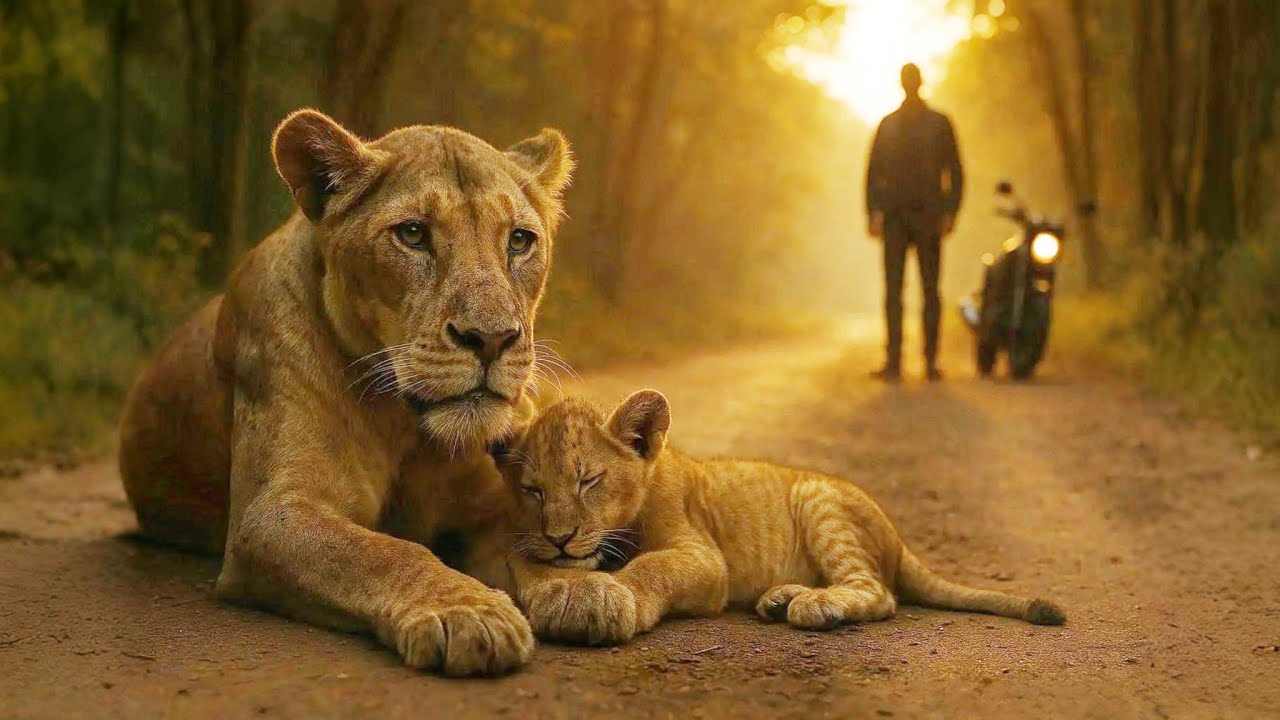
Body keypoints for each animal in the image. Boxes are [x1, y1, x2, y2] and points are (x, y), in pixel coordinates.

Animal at [117, 108, 573, 676]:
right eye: (413, 234)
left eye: (518, 241)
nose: (491, 338)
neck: (409, 429)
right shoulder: (271, 514)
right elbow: (384, 552)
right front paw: (468, 612)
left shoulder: (494, 509)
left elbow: (534, 540)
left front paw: (584, 590)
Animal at [493, 390, 1066, 645]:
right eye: (533, 491)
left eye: (589, 481)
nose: (561, 538)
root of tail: (899, 541)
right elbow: (526, 563)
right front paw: (560, 587)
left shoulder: (706, 560)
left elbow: (654, 567)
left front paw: (612, 598)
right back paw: (781, 597)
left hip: (819, 499)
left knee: (879, 592)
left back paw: (816, 606)